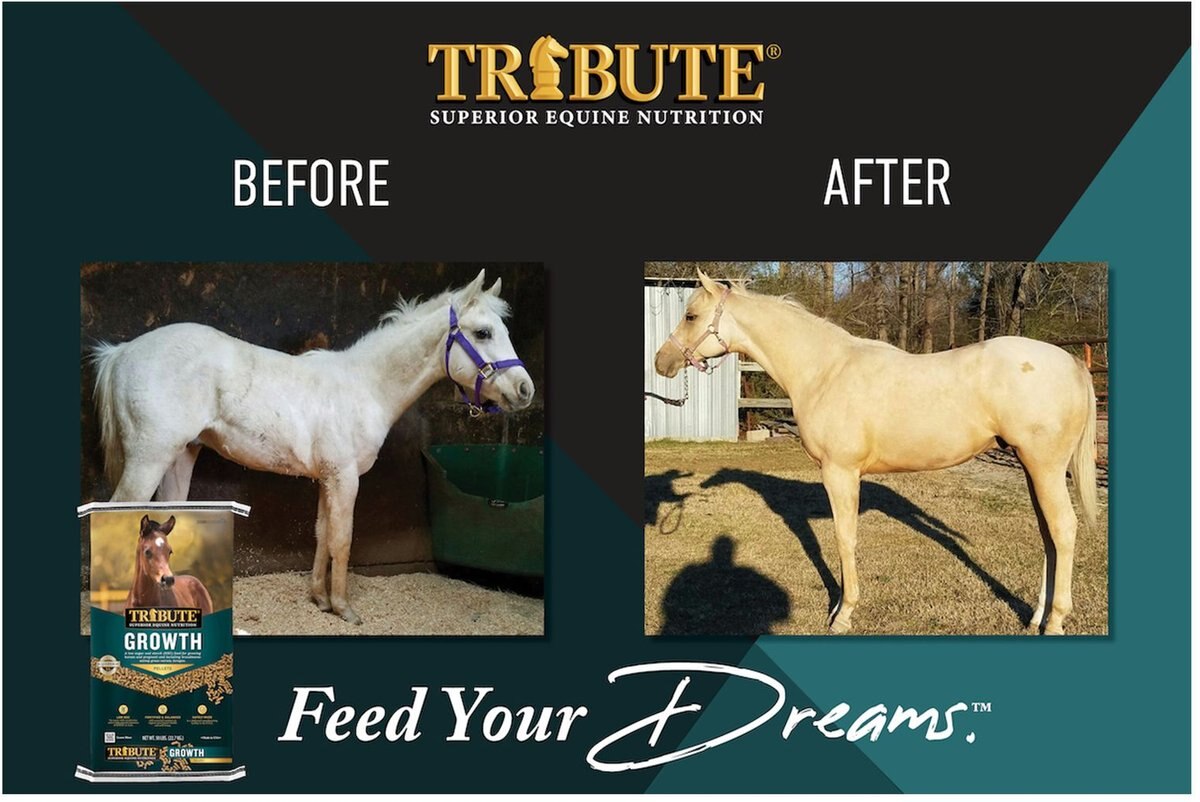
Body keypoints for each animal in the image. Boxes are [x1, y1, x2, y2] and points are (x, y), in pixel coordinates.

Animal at [91, 269, 534, 624]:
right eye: (483, 333)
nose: (525, 390)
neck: (365, 387)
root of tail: (122, 352)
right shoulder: (345, 478)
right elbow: (343, 539)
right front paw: (344, 608)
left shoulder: (326, 479)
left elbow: (322, 534)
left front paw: (320, 599)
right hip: (148, 459)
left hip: (180, 456)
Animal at [654, 270, 1098, 635]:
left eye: (691, 315)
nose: (662, 361)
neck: (824, 371)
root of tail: (1072, 363)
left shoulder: (840, 472)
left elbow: (844, 537)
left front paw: (842, 614)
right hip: (1033, 468)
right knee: (1048, 534)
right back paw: (1036, 617)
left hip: (1044, 467)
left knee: (1064, 529)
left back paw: (1055, 621)